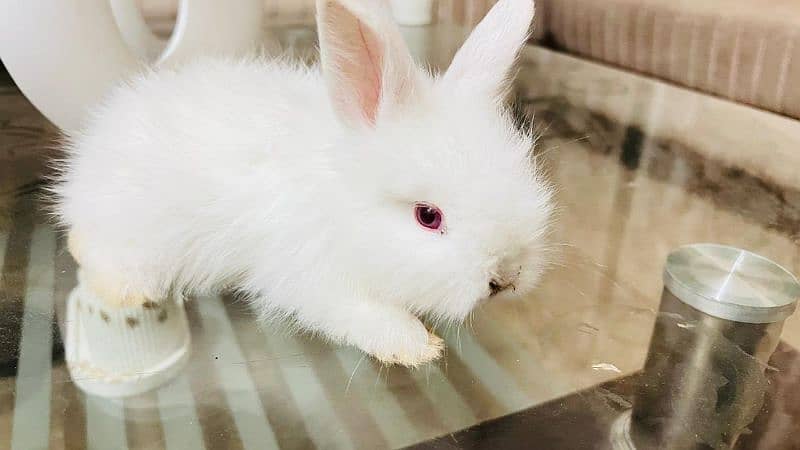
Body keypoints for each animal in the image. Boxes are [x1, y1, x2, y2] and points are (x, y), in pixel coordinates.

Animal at [54, 0, 552, 366]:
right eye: (427, 216)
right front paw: (417, 347)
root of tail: (84, 166)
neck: (343, 199)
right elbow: (363, 313)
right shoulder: (313, 276)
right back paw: (128, 294)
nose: (507, 278)